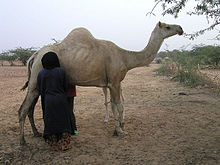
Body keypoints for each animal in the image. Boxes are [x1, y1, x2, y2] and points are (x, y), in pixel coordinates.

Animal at [18, 21, 184, 144]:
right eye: (167, 26)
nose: (180, 28)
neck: (125, 57)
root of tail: (34, 55)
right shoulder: (115, 82)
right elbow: (118, 105)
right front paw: (121, 131)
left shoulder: (112, 83)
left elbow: (114, 105)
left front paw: (117, 129)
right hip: (35, 81)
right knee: (23, 109)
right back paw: (23, 142)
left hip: (37, 83)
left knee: (30, 109)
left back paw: (37, 133)